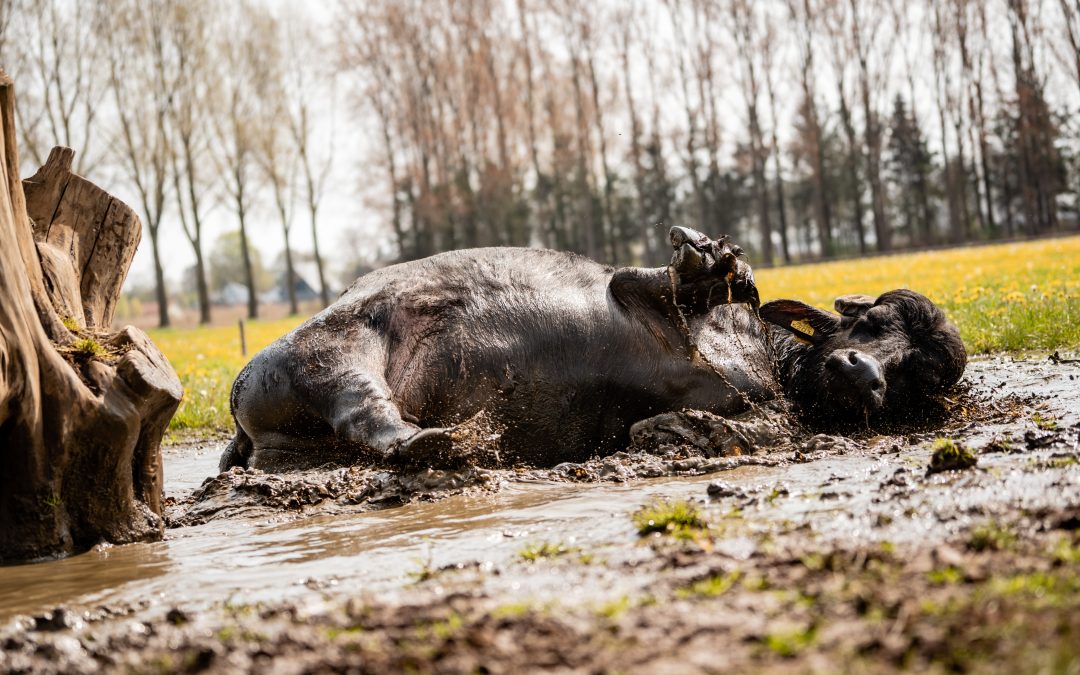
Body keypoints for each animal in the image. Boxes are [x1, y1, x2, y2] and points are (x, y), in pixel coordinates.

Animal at [217, 226, 963, 468]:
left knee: (359, 421)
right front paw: (713, 263)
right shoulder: (627, 287)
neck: (760, 353)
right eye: (872, 323)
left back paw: (446, 442)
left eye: (921, 374)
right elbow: (661, 281)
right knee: (361, 404)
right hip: (335, 345)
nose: (865, 373)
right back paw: (444, 442)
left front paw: (669, 429)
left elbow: (753, 426)